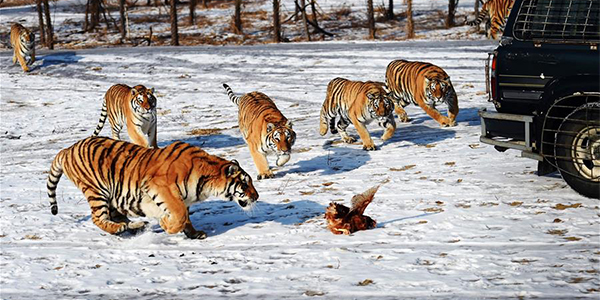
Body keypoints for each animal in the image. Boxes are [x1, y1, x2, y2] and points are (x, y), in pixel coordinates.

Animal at [47, 137, 258, 239]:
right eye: (245, 183)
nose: (256, 197)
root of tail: (67, 149)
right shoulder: (162, 187)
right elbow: (180, 215)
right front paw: (165, 223)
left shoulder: (183, 199)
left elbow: (186, 218)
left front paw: (194, 234)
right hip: (97, 191)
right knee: (97, 218)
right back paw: (121, 228)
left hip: (113, 197)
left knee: (117, 217)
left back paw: (136, 226)